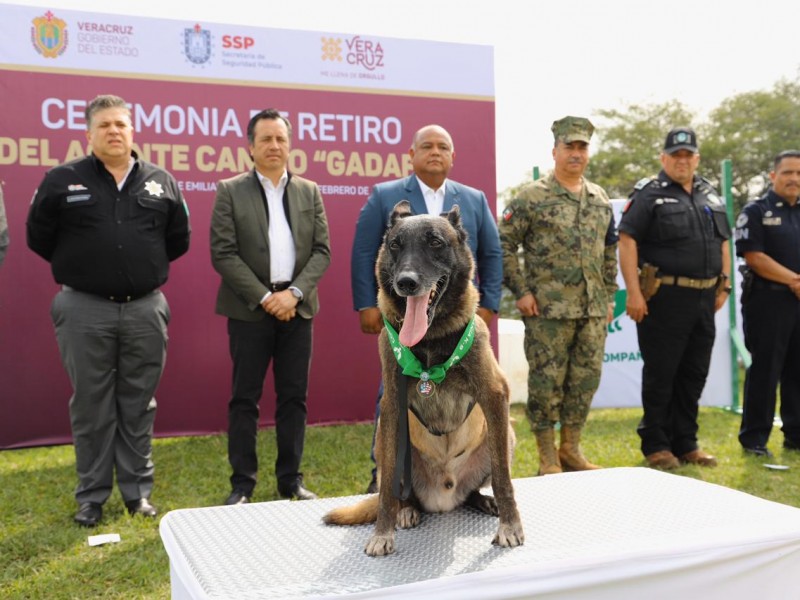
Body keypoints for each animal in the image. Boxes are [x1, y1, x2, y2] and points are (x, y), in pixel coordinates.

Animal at [324, 202, 524, 556]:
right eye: (394, 245)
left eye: (435, 242)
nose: (406, 282)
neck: (430, 340)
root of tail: (443, 495)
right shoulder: (391, 406)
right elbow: (386, 488)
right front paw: (382, 533)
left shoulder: (494, 394)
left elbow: (503, 478)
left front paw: (510, 526)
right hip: (384, 438)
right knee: (398, 491)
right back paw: (407, 510)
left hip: (505, 435)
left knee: (477, 489)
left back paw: (483, 500)